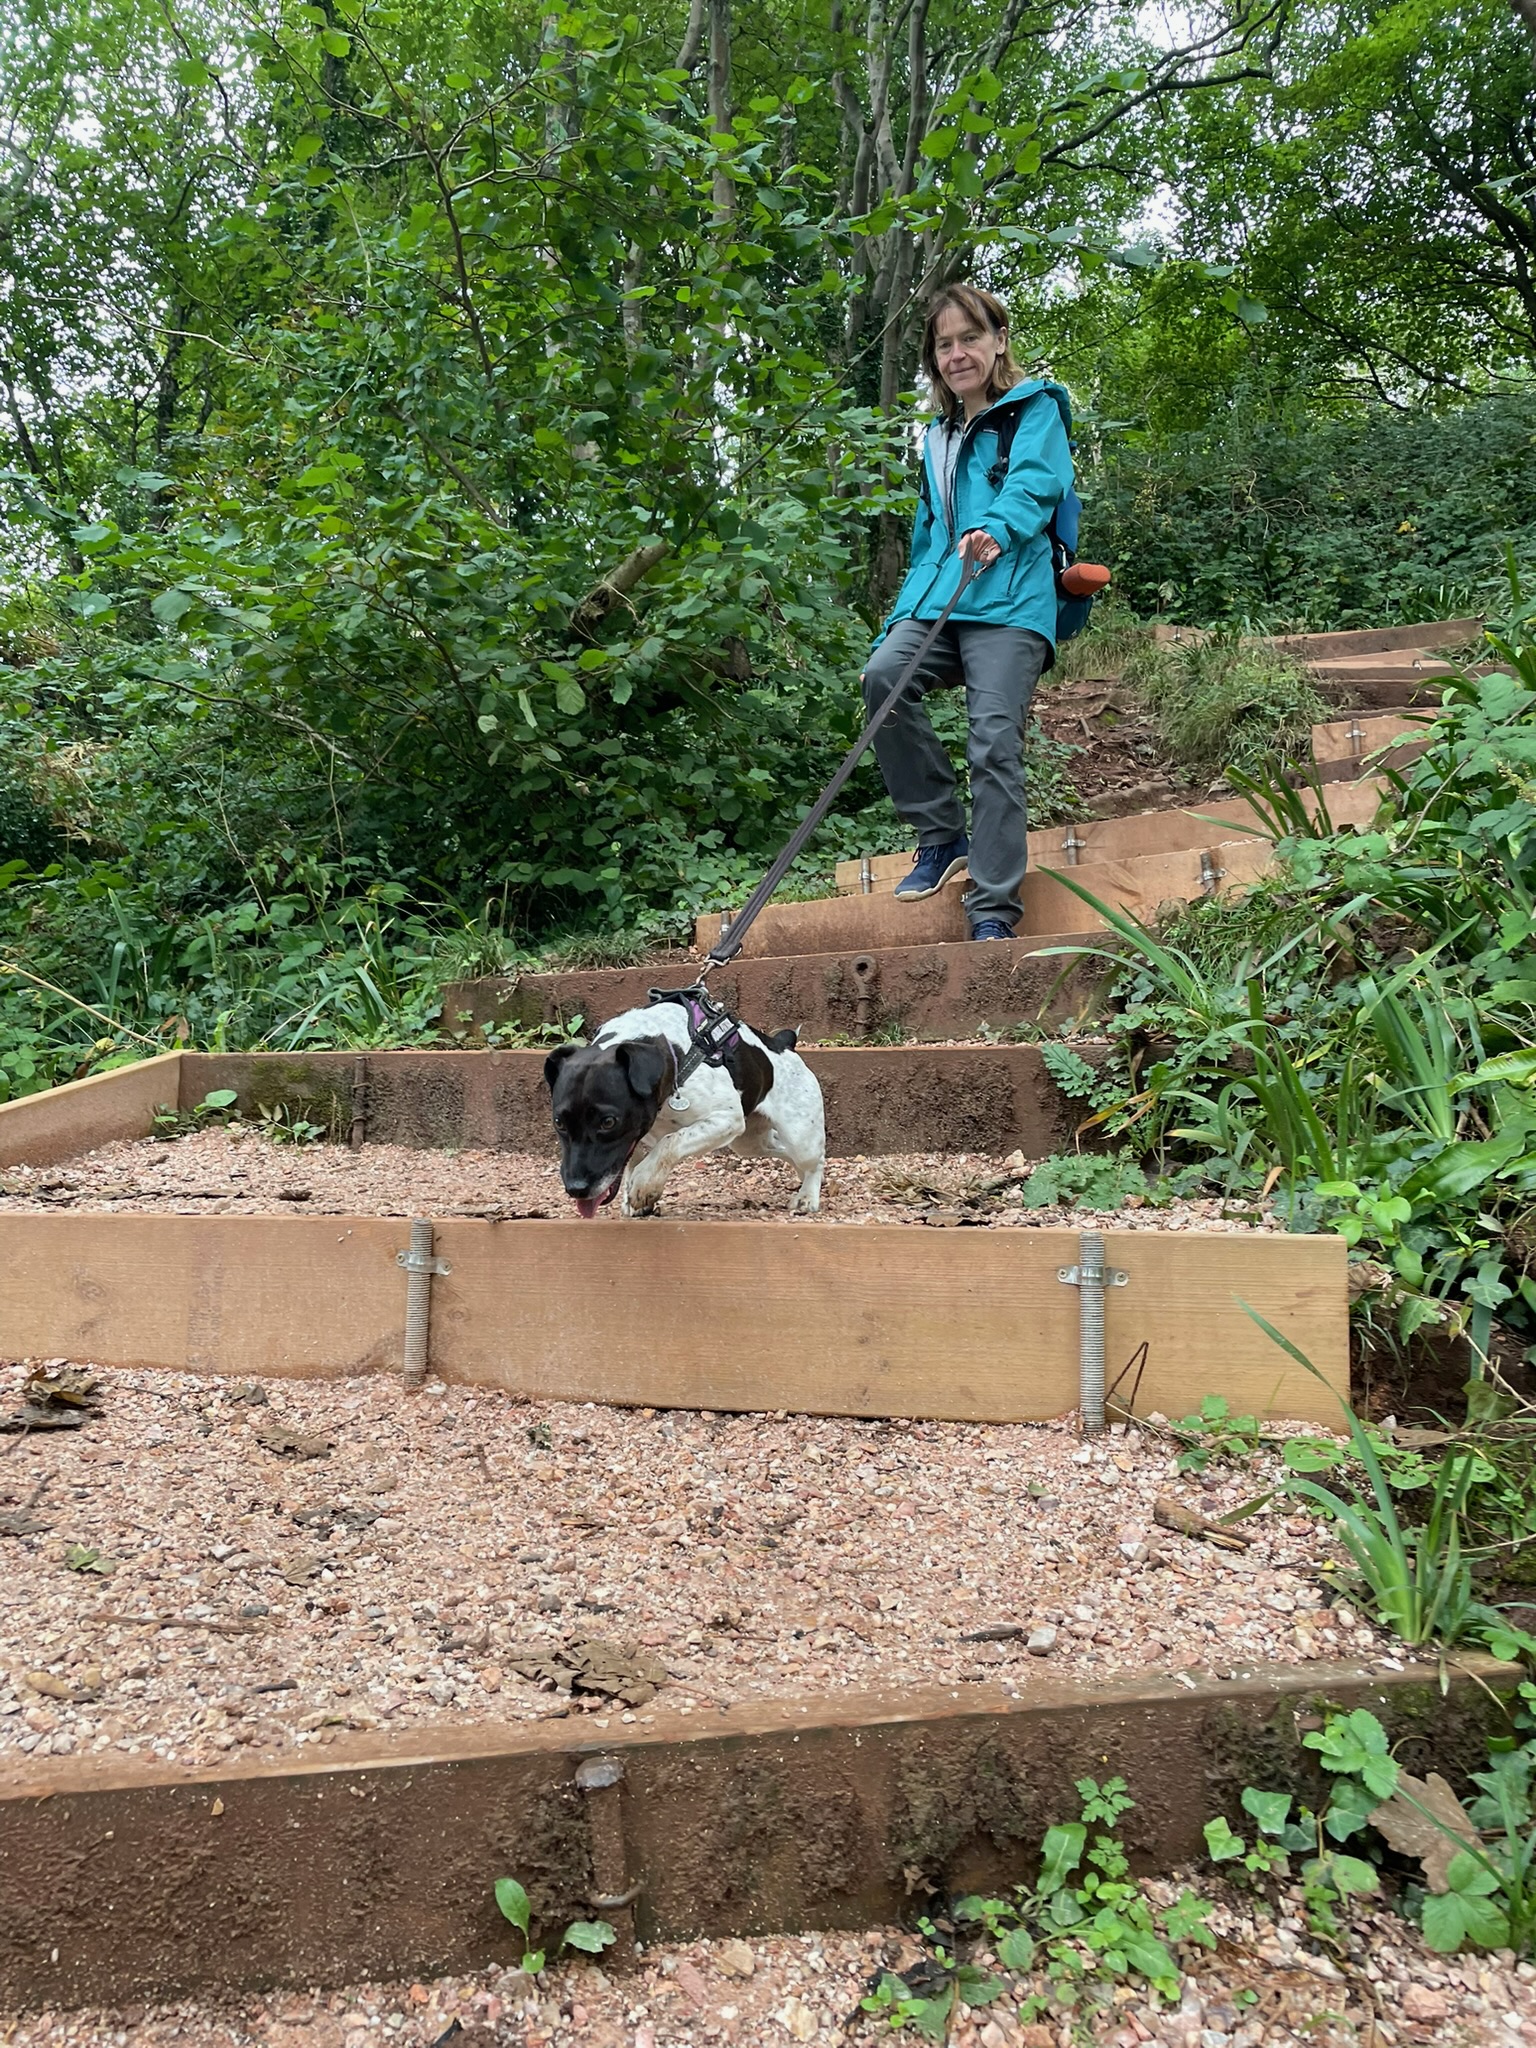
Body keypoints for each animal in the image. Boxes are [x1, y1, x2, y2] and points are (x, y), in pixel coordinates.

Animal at [544, 995, 831, 1212]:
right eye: (558, 1122)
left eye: (608, 1122)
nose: (576, 1189)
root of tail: (784, 1044)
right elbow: (633, 1163)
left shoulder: (725, 1119)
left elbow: (669, 1144)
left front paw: (644, 1185)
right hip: (749, 1143)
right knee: (784, 1152)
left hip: (799, 1137)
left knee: (815, 1161)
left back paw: (808, 1197)